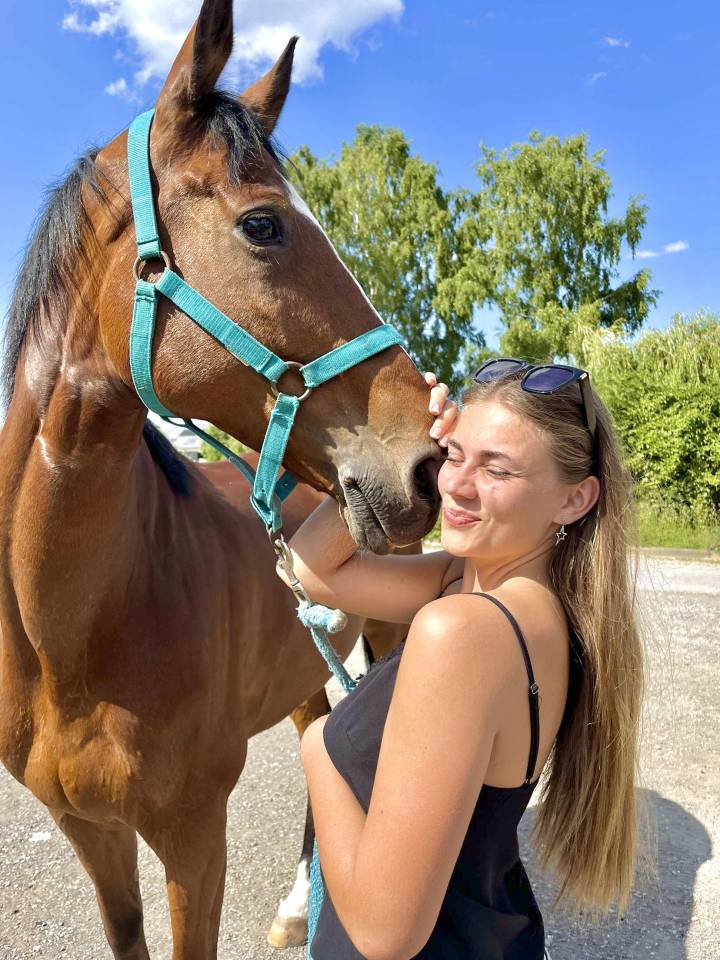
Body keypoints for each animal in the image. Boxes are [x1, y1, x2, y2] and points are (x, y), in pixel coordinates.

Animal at [0, 0, 440, 956]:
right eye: (263, 225)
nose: (428, 462)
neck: (74, 634)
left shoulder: (195, 838)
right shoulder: (90, 831)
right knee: (319, 727)